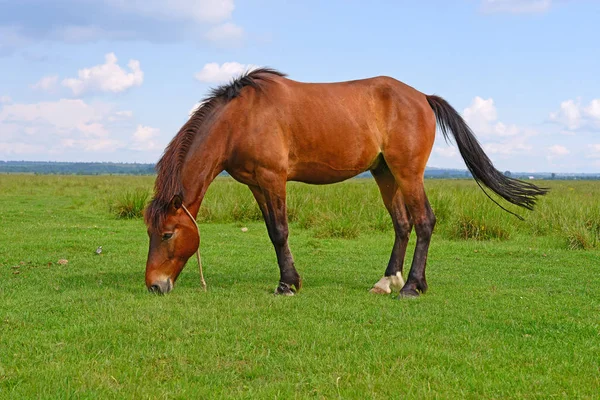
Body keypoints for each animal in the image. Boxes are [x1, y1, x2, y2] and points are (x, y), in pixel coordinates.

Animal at [143, 67, 548, 296]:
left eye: (167, 233)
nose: (154, 285)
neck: (241, 117)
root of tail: (422, 97)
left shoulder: (273, 179)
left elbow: (279, 231)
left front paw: (288, 284)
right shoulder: (256, 184)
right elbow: (273, 231)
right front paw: (290, 280)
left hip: (408, 173)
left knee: (424, 221)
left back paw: (412, 286)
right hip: (384, 173)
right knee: (402, 224)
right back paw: (387, 282)